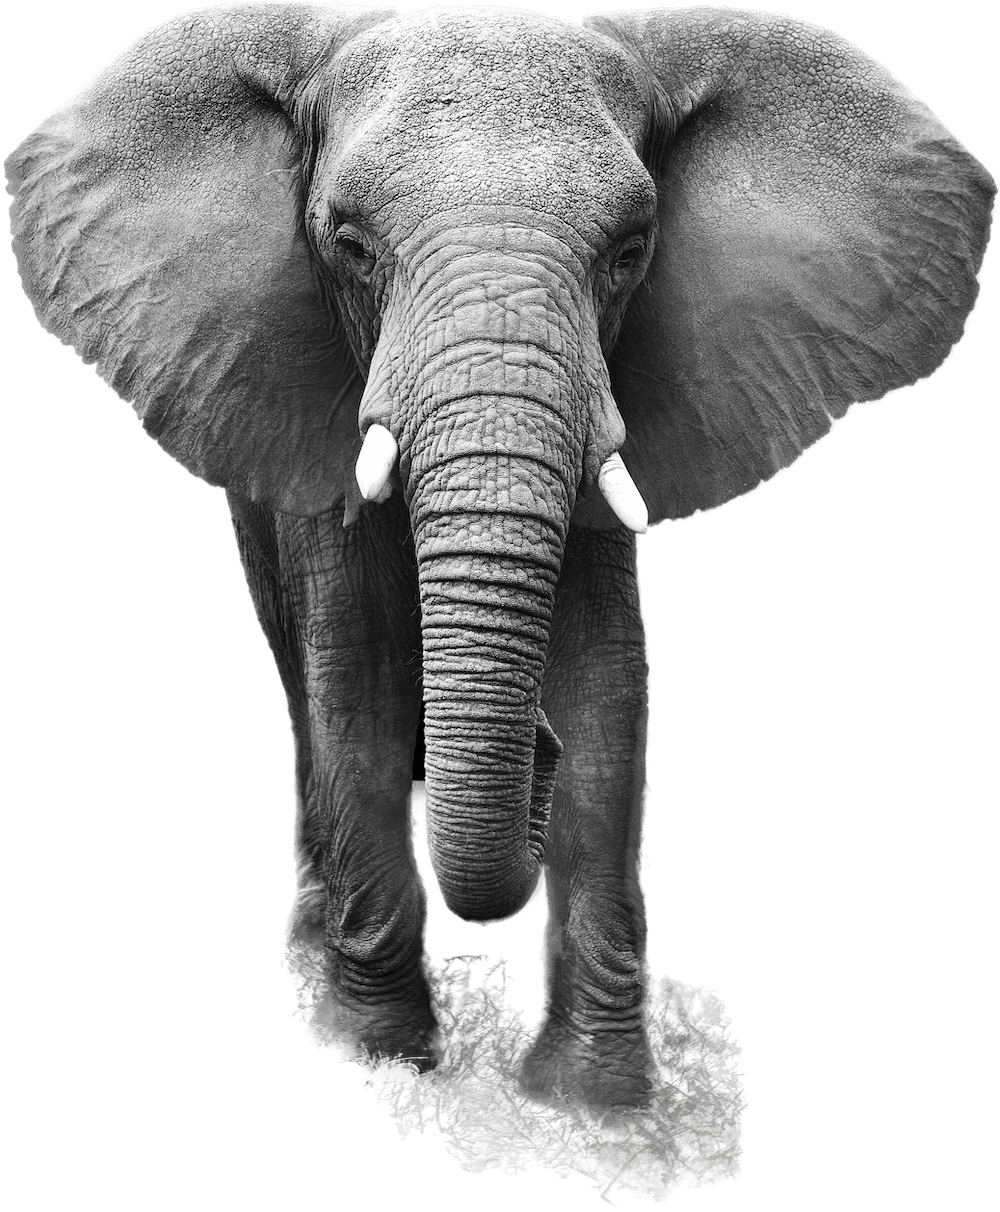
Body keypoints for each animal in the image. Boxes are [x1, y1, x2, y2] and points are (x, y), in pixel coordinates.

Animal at [6, 3, 994, 1114]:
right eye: (350, 247)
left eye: (630, 251)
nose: (534, 752)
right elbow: (356, 681)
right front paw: (386, 1066)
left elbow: (612, 691)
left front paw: (596, 1104)